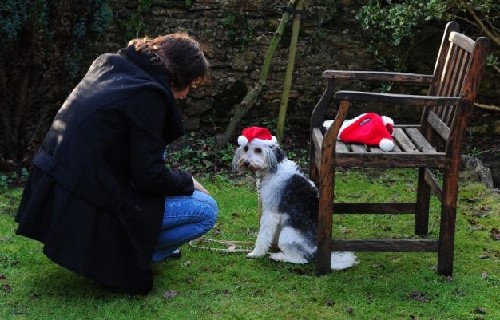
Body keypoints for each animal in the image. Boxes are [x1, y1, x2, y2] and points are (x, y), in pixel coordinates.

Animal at [232, 126, 358, 268]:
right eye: (245, 148)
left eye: (258, 150)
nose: (246, 162)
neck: (273, 169)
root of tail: (316, 252)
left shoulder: (270, 212)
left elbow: (263, 235)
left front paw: (256, 253)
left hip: (287, 235)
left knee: (300, 260)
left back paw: (278, 256)